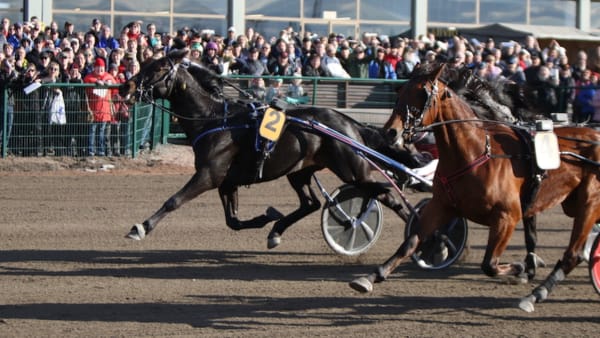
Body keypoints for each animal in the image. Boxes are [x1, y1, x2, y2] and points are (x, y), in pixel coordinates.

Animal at [119, 48, 414, 251]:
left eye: (157, 68)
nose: (125, 85)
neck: (213, 119)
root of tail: (351, 123)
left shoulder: (210, 175)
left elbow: (174, 200)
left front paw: (141, 227)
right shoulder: (228, 182)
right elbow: (233, 221)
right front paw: (266, 217)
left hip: (353, 171)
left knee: (387, 194)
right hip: (300, 171)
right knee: (311, 203)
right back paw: (276, 231)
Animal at [350, 62, 600, 312]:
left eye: (422, 94)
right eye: (400, 91)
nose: (390, 132)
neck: (477, 152)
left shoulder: (508, 216)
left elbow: (490, 264)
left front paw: (520, 268)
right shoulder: (442, 206)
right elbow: (410, 242)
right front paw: (371, 277)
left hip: (589, 203)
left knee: (573, 254)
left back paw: (536, 294)